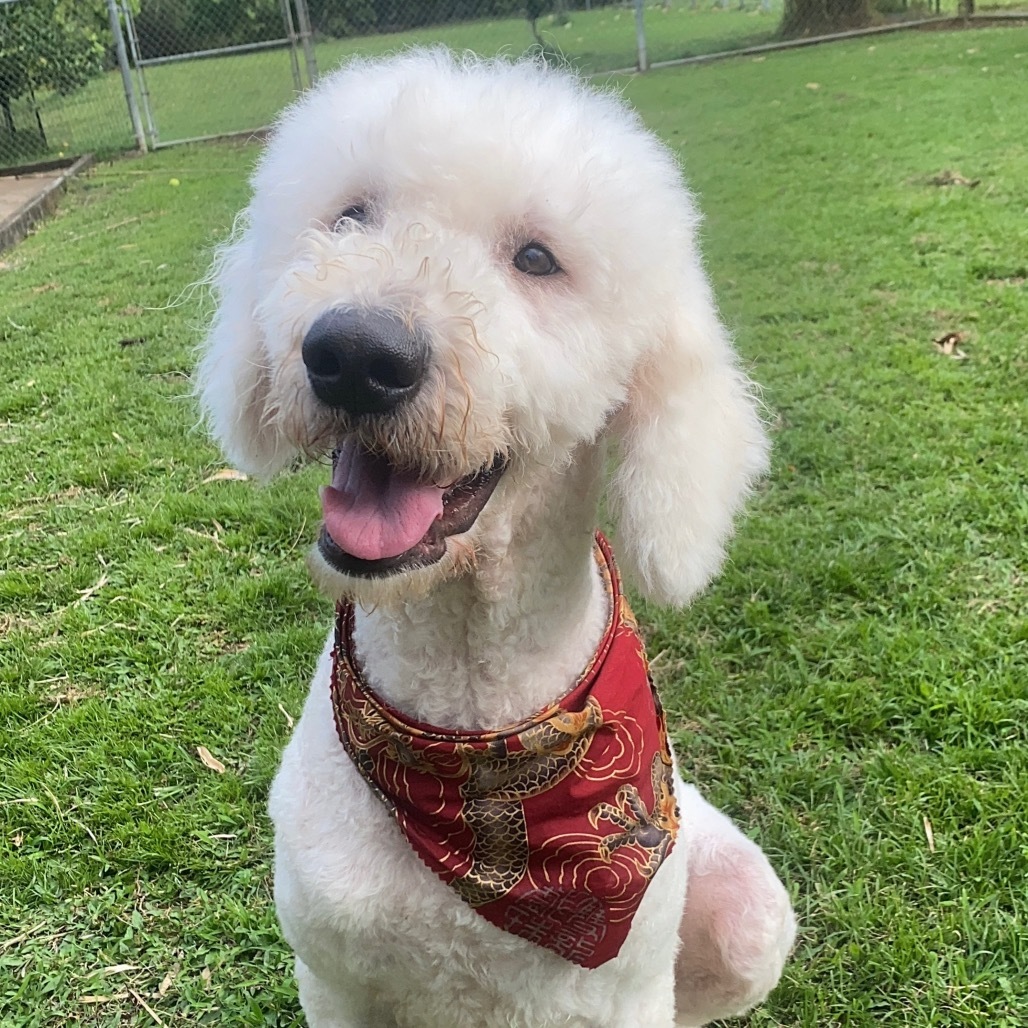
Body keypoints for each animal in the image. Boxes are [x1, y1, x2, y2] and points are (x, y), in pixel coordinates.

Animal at [200, 48, 793, 1028]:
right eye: (351, 215)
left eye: (538, 259)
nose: (356, 354)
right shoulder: (331, 979)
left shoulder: (619, 993)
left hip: (746, 915)